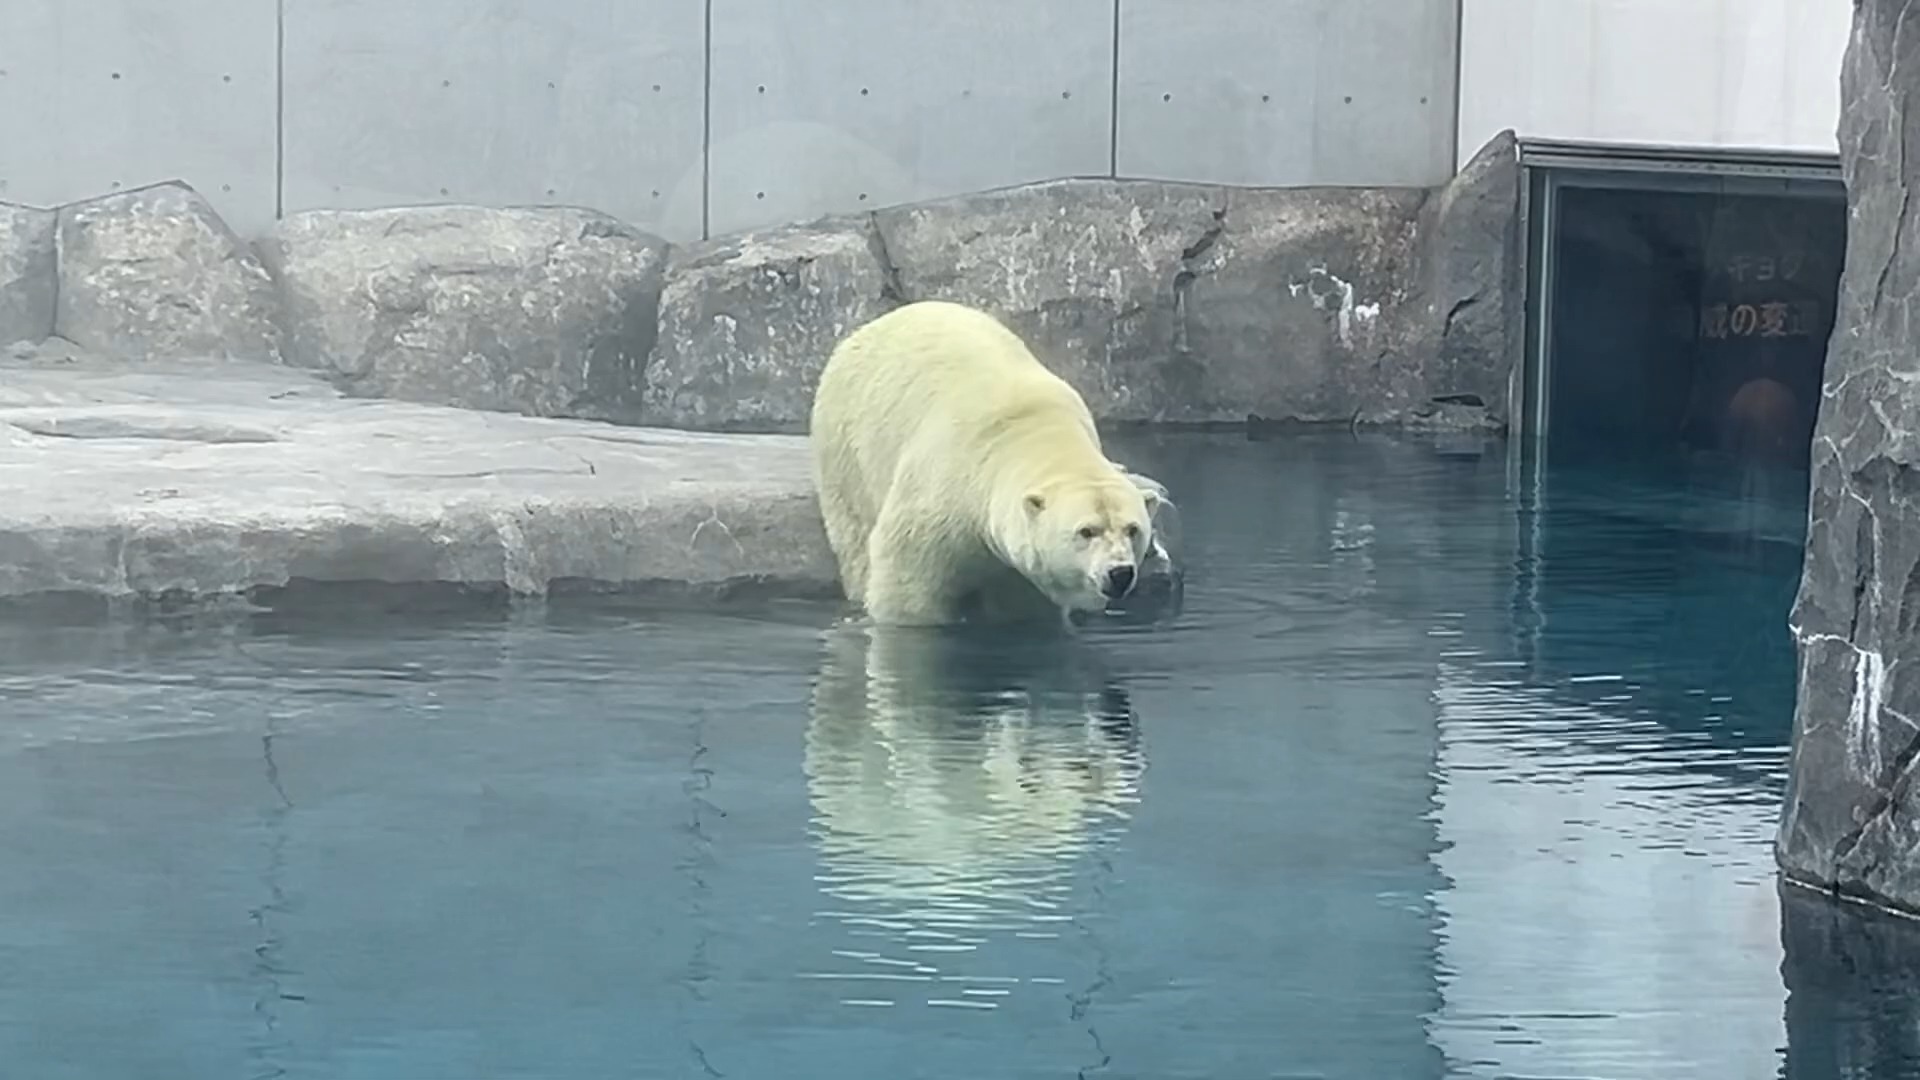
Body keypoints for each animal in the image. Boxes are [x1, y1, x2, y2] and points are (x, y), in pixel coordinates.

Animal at [806, 297, 1152, 626]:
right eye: (1086, 531)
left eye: (1133, 529)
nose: (1119, 573)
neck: (1035, 429)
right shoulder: (946, 481)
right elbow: (906, 580)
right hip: (846, 446)